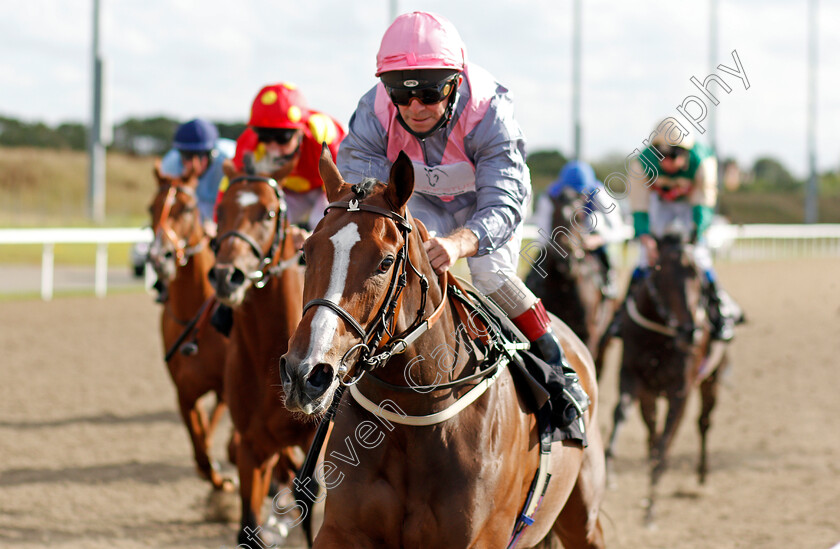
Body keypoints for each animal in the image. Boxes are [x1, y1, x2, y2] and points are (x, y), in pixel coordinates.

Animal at [148, 161, 231, 490]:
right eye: (150, 208)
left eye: (186, 208)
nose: (159, 257)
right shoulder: (184, 392)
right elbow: (199, 444)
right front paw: (213, 473)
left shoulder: (225, 389)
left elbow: (209, 432)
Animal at [604, 231, 728, 524]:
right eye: (663, 277)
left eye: (697, 276)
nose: (691, 331)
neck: (660, 336)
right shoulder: (632, 378)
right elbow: (621, 414)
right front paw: (609, 471)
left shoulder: (680, 390)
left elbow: (664, 446)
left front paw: (651, 507)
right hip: (650, 394)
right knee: (652, 430)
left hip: (712, 380)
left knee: (703, 421)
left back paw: (702, 473)